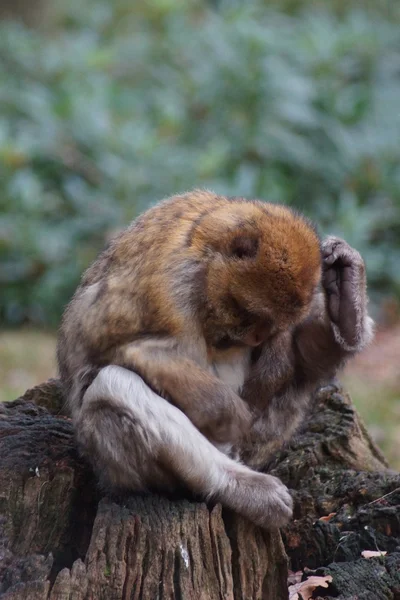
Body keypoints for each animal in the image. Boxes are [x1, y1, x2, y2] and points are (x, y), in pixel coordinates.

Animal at [57, 190, 374, 528]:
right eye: (248, 314)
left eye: (271, 323)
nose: (257, 338)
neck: (204, 252)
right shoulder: (171, 292)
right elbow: (126, 349)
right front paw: (226, 413)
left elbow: (299, 356)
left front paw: (345, 288)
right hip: (115, 463)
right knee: (112, 385)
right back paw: (240, 486)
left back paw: (346, 310)